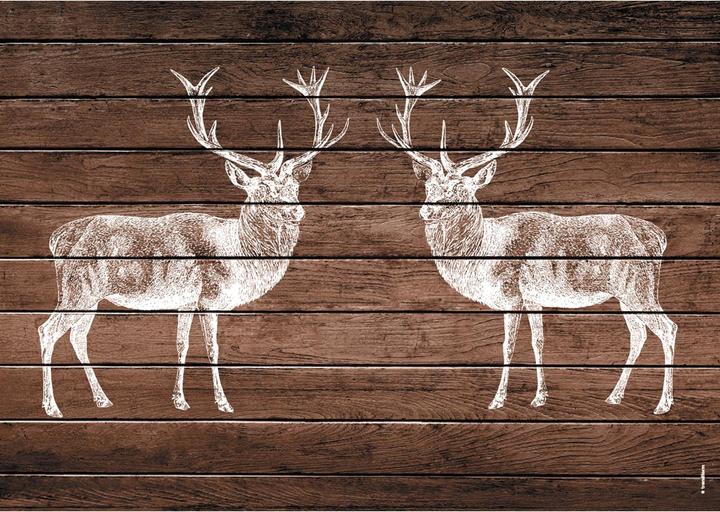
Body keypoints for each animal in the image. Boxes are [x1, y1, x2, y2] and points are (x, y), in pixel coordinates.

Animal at [38, 66, 349, 417]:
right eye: (262, 191)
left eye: (294, 188)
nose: (297, 211)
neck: (237, 254)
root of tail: (57, 238)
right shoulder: (209, 297)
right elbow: (212, 347)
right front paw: (223, 402)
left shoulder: (185, 300)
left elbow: (181, 343)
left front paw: (179, 399)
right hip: (78, 288)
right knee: (47, 330)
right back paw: (52, 407)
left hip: (89, 296)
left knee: (77, 336)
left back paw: (102, 398)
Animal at [377, 68, 677, 414]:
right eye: (429, 187)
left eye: (460, 190)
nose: (426, 211)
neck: (483, 252)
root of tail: (658, 237)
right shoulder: (534, 298)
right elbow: (539, 341)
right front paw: (540, 396)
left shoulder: (511, 294)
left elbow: (508, 345)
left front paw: (497, 399)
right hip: (626, 294)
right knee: (639, 333)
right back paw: (614, 396)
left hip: (638, 286)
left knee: (667, 328)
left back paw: (664, 403)